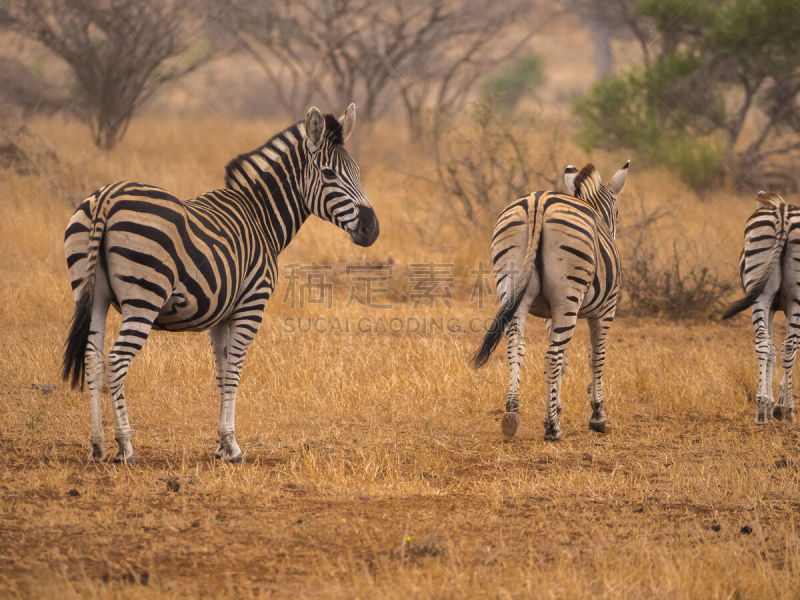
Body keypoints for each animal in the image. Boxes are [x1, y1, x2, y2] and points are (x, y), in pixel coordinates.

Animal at [61, 104, 380, 464]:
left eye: (357, 172)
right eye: (328, 175)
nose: (371, 228)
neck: (261, 217)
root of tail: (107, 196)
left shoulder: (220, 314)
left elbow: (222, 370)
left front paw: (220, 445)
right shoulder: (251, 304)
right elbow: (235, 370)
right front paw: (232, 445)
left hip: (91, 294)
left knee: (92, 359)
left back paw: (97, 445)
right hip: (144, 297)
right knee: (116, 361)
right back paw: (125, 446)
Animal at [472, 163, 628, 440]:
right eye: (617, 213)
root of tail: (539, 202)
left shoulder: (549, 314)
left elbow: (564, 360)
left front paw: (555, 406)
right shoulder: (606, 308)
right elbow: (596, 356)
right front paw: (597, 415)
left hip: (511, 287)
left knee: (517, 346)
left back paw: (512, 414)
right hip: (568, 295)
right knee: (551, 356)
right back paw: (553, 429)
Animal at [720, 191, 796, 422]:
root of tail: (782, 211)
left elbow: (774, 349)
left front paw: (773, 403)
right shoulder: (775, 307)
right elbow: (777, 350)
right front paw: (777, 403)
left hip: (761, 294)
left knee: (767, 342)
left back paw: (764, 409)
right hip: (774, 297)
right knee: (783, 345)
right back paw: (785, 408)